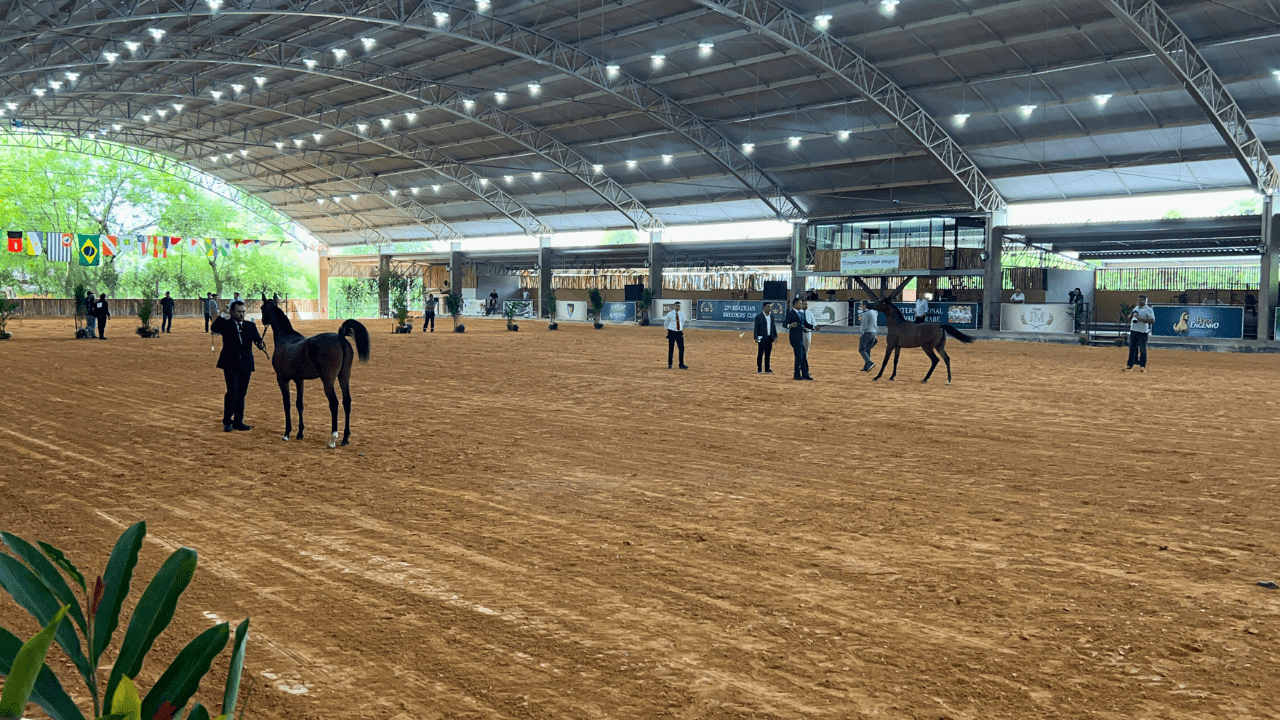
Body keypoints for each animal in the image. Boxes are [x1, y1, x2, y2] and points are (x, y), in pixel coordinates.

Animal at [258, 295, 371, 443]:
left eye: (261, 307)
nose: (262, 320)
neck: (286, 338)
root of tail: (340, 338)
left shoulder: (282, 379)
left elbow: (287, 404)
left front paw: (287, 433)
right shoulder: (299, 380)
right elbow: (299, 404)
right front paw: (300, 433)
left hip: (328, 380)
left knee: (334, 402)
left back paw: (333, 438)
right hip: (344, 376)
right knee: (347, 401)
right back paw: (345, 438)